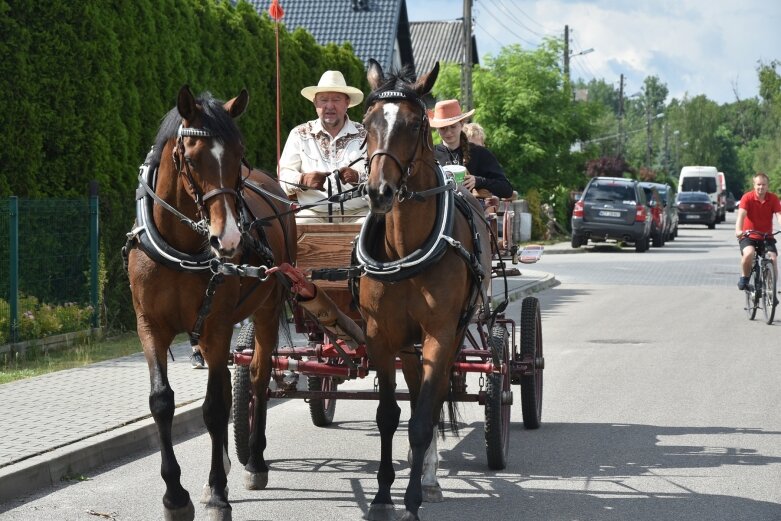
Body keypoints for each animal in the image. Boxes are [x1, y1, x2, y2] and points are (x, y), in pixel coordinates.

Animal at [125, 86, 296, 520]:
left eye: (239, 153)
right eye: (191, 156)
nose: (229, 239)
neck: (182, 246)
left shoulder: (217, 327)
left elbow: (217, 408)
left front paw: (218, 493)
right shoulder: (149, 326)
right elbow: (161, 402)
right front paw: (175, 495)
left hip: (265, 310)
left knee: (258, 377)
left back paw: (254, 462)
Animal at [358, 62, 490, 520]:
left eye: (415, 125)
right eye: (367, 123)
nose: (378, 192)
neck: (406, 250)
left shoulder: (439, 335)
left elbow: (420, 421)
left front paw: (413, 499)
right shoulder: (380, 337)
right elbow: (388, 415)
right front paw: (382, 496)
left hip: (449, 338)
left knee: (430, 408)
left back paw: (429, 479)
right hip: (409, 347)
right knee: (417, 398)